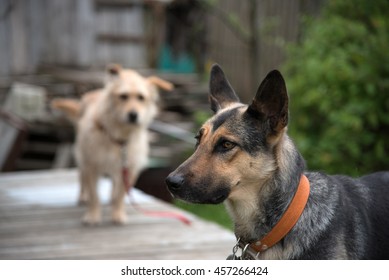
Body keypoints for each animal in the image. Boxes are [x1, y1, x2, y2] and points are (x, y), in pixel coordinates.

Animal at [51, 64, 173, 224]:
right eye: (123, 96)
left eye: (141, 97)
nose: (133, 115)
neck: (119, 138)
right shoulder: (91, 165)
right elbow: (94, 195)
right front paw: (92, 216)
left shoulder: (130, 168)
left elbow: (120, 195)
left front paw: (117, 214)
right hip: (81, 156)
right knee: (82, 178)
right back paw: (83, 197)